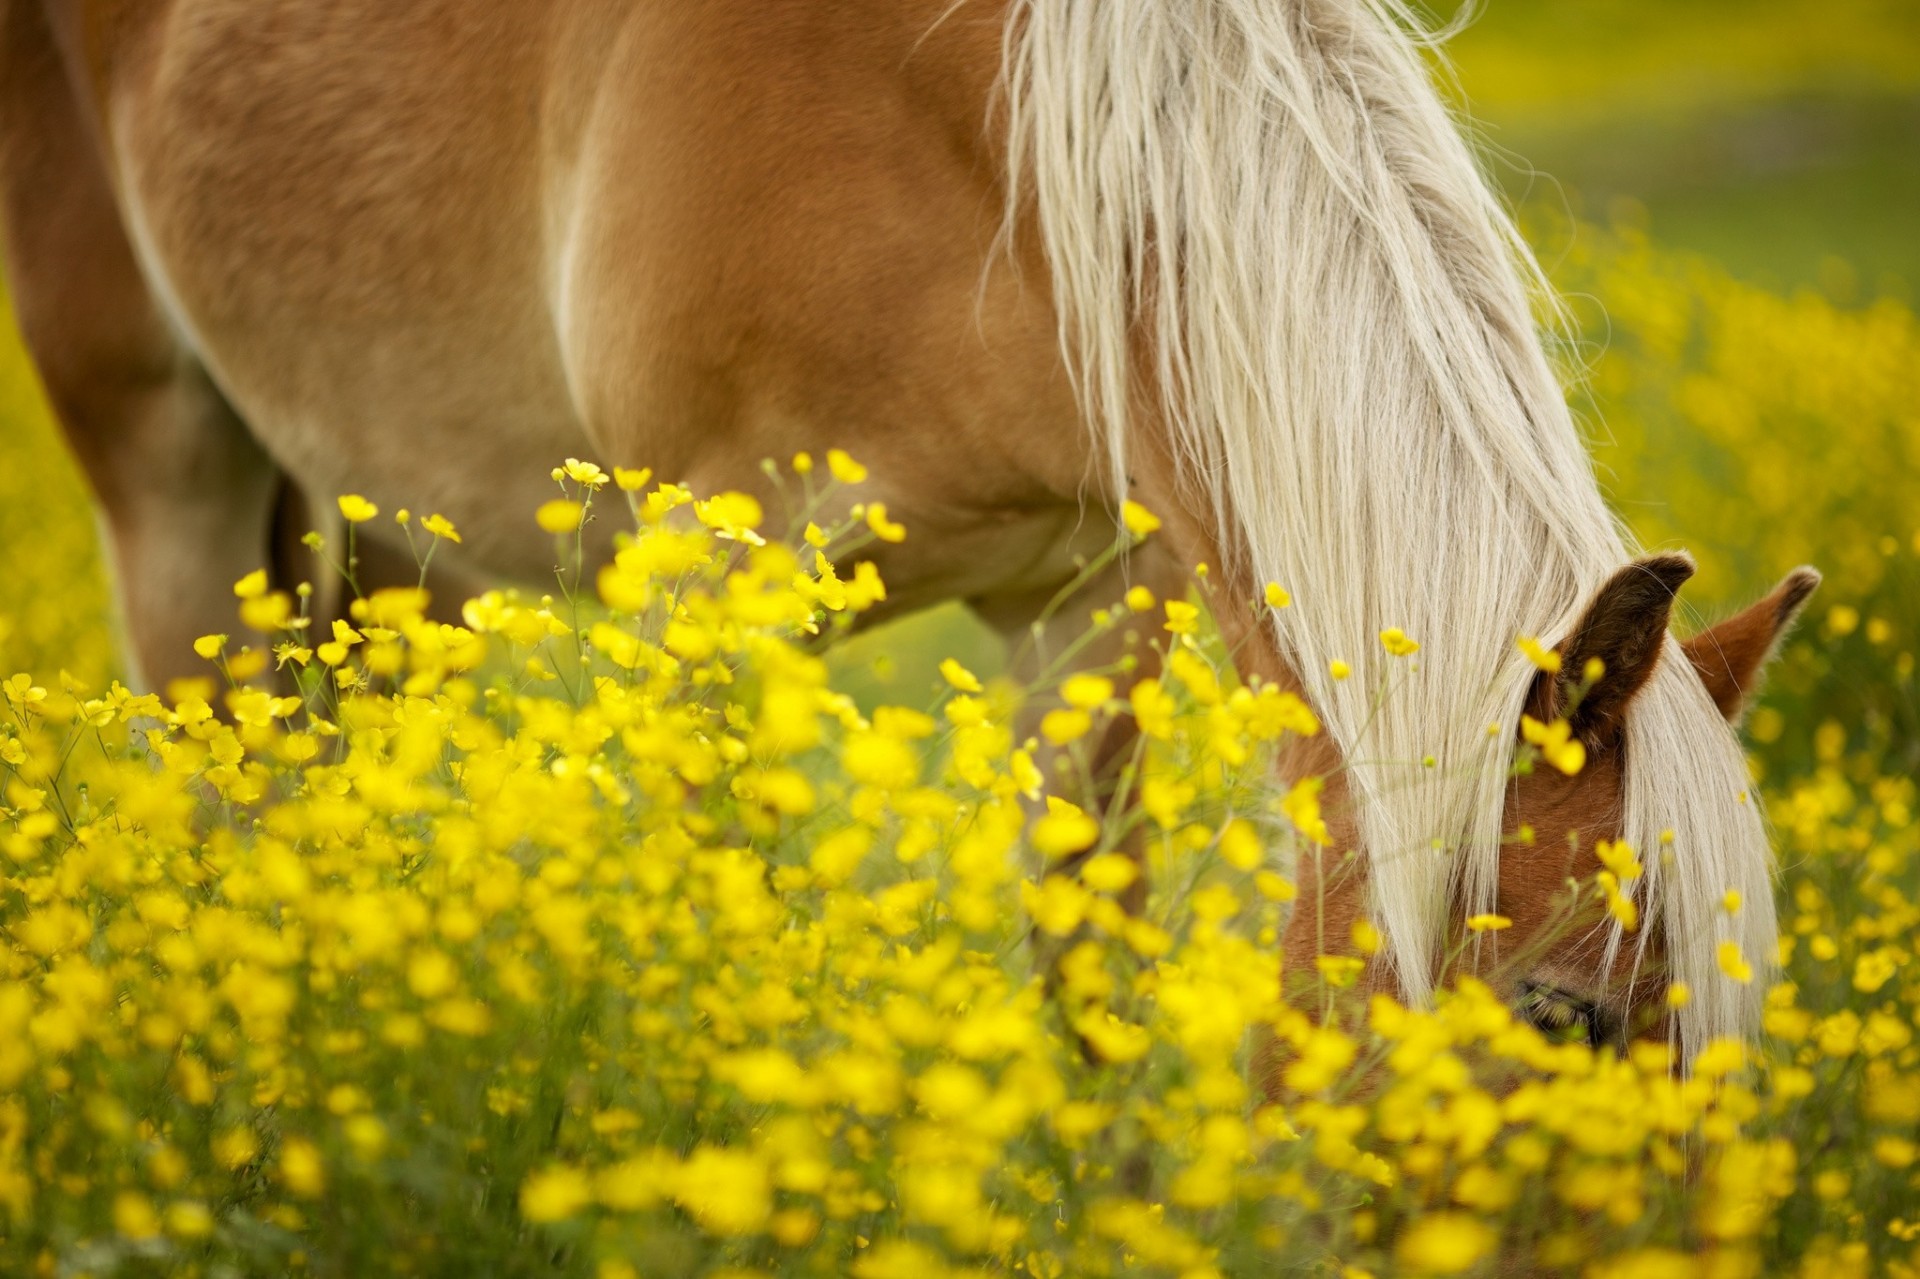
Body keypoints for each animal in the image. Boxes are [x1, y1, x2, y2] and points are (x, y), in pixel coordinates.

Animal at [0, 0, 1813, 1061]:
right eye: (1568, 1014)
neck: (980, 134)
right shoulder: (709, 598)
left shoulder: (1090, 609)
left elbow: (1085, 992)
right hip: (167, 467)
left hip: (391, 523)